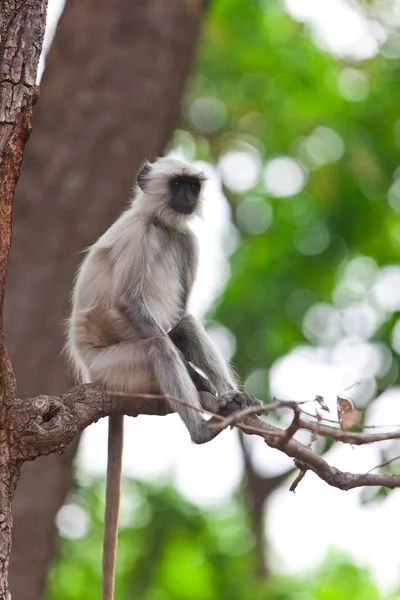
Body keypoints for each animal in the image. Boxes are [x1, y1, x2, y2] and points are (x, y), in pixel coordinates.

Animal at [67, 157, 260, 596]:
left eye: (192, 186)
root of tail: (90, 374)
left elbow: (181, 317)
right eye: (177, 185)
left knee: (183, 325)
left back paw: (231, 399)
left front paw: (223, 390)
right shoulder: (143, 236)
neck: (162, 224)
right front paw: (200, 384)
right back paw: (202, 429)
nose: (187, 197)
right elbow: (128, 304)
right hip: (117, 368)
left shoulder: (186, 240)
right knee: (158, 345)